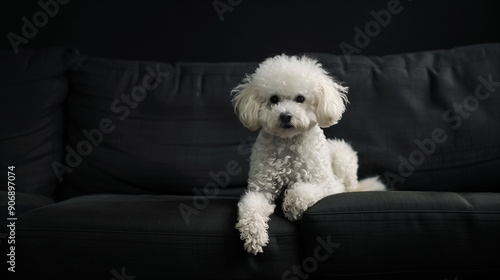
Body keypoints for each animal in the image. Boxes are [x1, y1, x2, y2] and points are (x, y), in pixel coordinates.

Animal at [232, 54, 384, 256]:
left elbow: (301, 192)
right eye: (274, 99)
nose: (285, 116)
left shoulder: (325, 185)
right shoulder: (261, 190)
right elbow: (250, 207)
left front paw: (291, 207)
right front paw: (254, 235)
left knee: (349, 186)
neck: (289, 144)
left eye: (300, 98)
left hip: (343, 156)